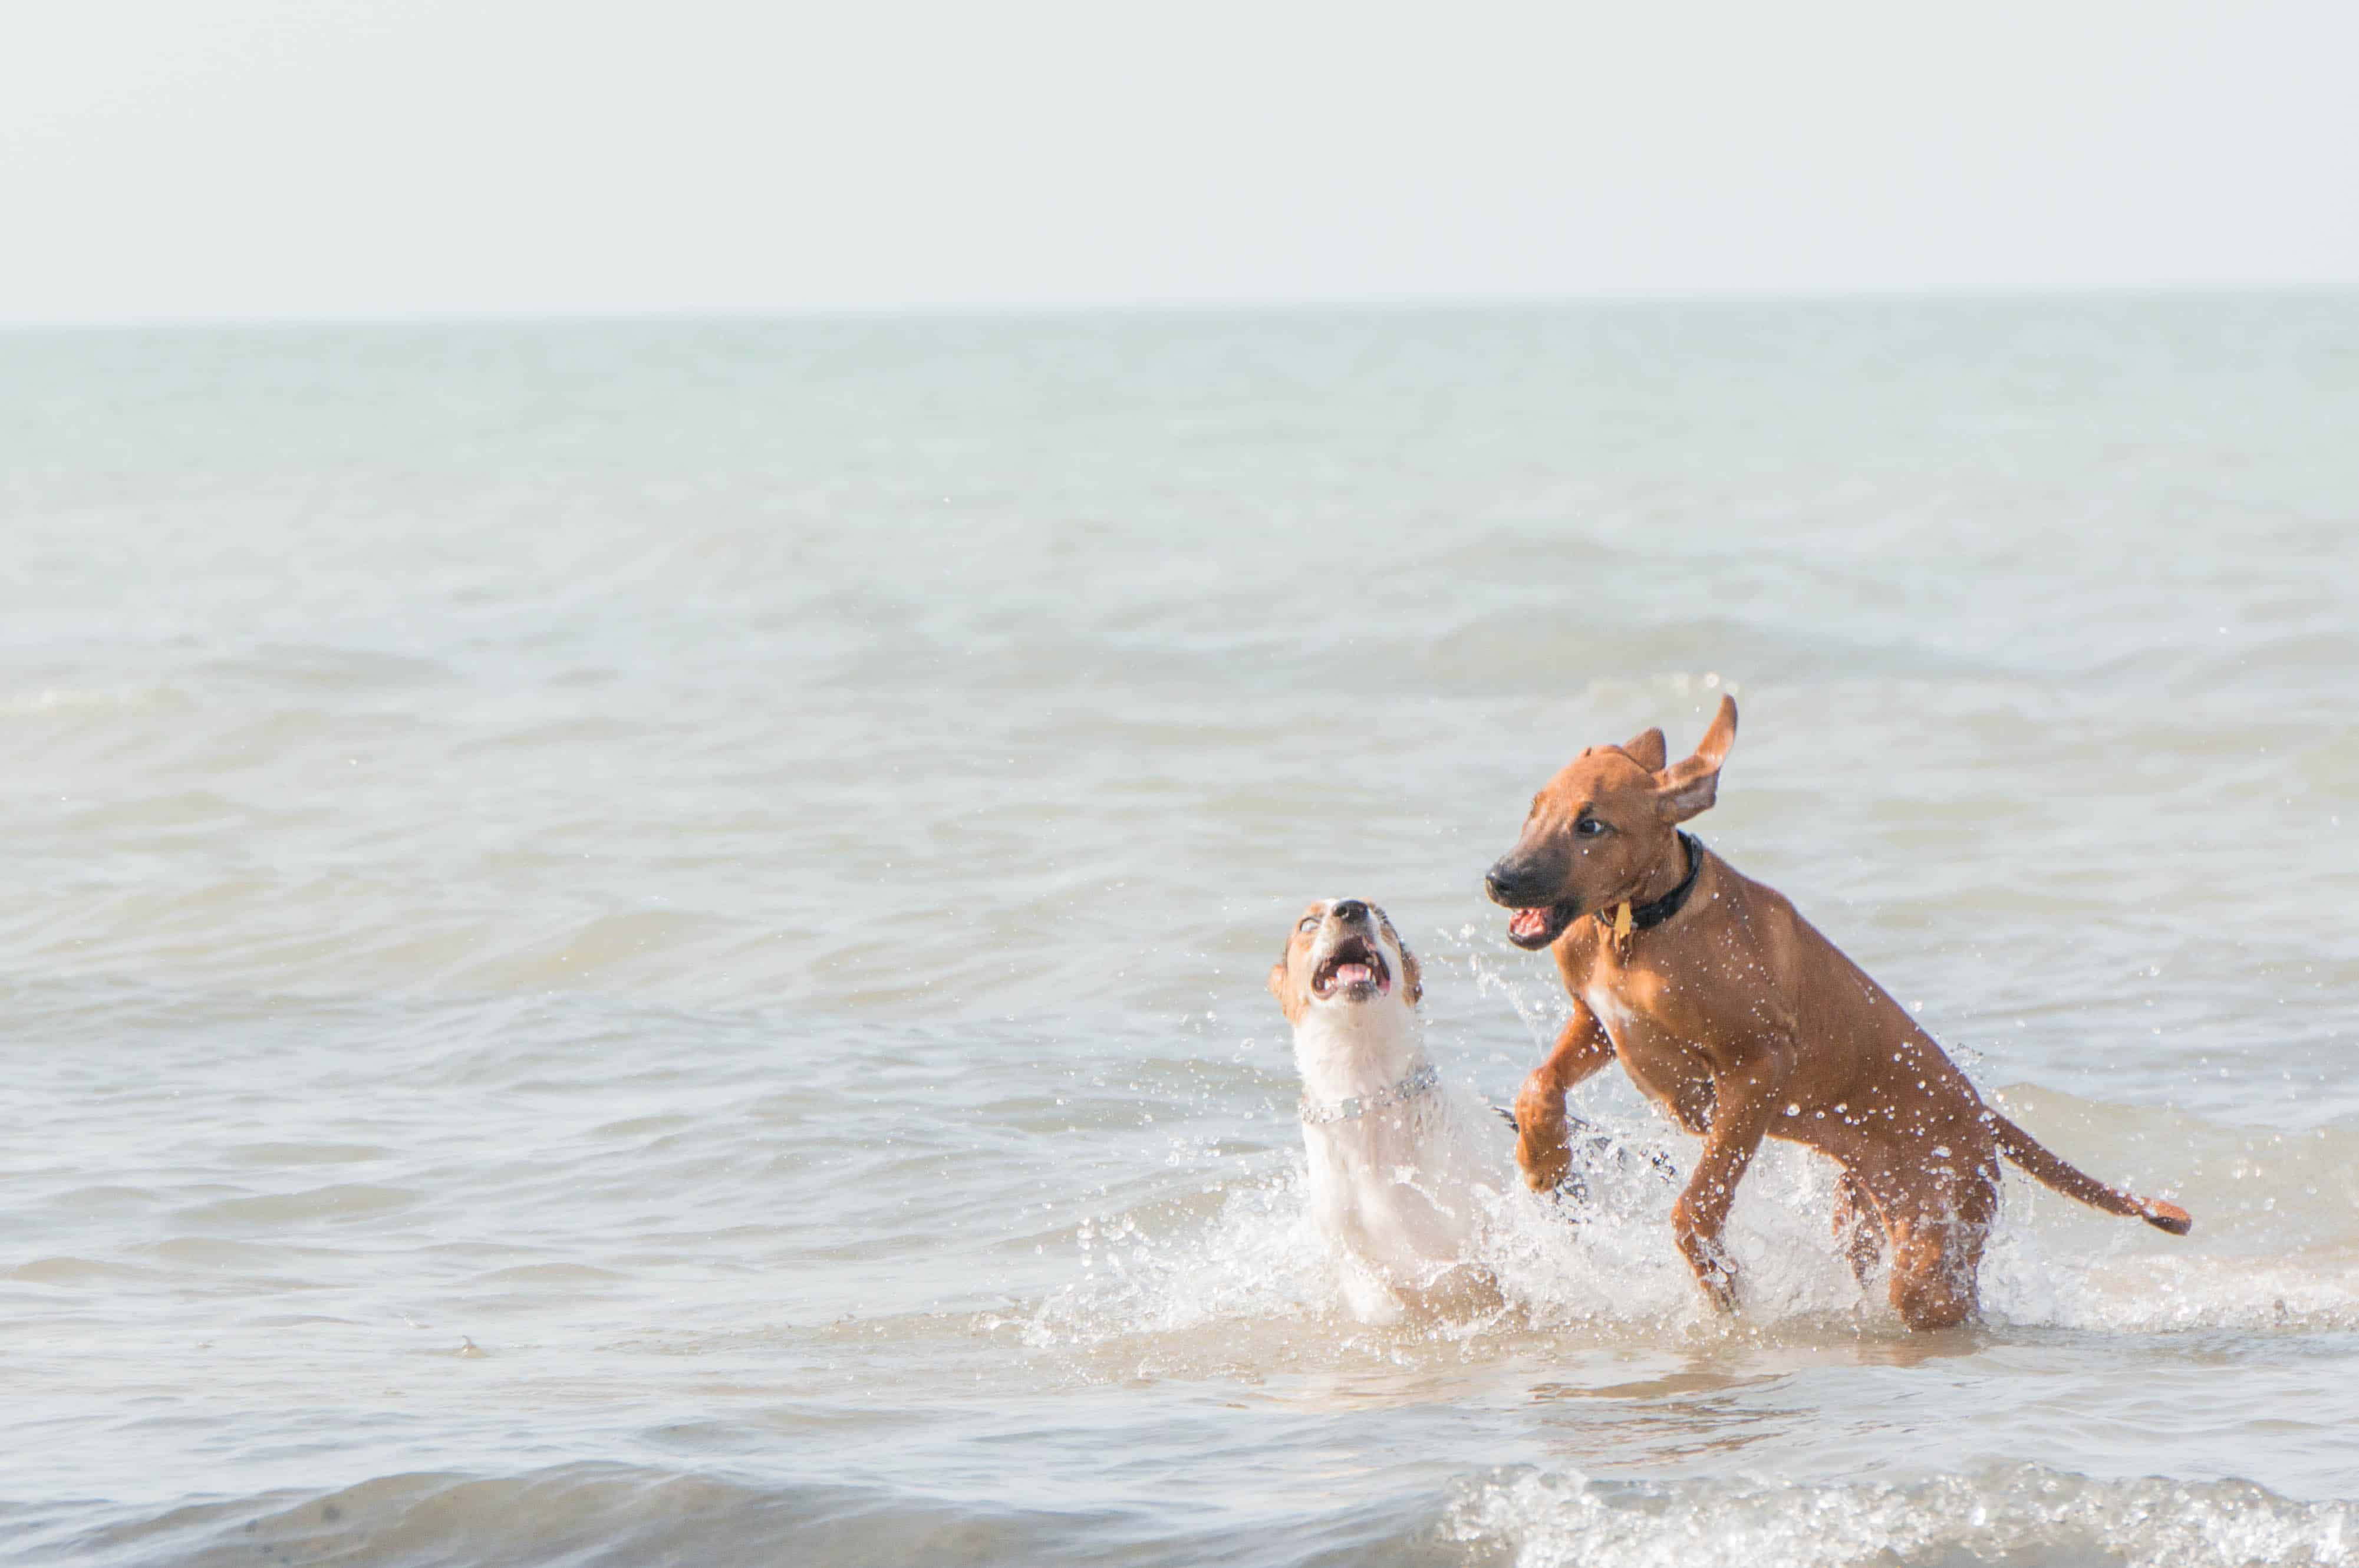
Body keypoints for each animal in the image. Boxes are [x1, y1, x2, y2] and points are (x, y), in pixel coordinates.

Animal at [1274, 891, 1510, 1320]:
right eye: (1307, 924)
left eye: (1382, 916)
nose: (1351, 908)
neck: (1369, 1101)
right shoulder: (1353, 1258)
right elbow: (1378, 1301)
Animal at [1481, 703, 2179, 1330]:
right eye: (1535, 808)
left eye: (1591, 826)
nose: (1499, 879)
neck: (1641, 927)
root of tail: (1979, 1112)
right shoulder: (1599, 1023)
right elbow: (1538, 1084)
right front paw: (1544, 1161)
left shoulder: (1758, 1066)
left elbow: (1697, 1204)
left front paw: (1723, 1288)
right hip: (1861, 1214)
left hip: (1934, 1247)